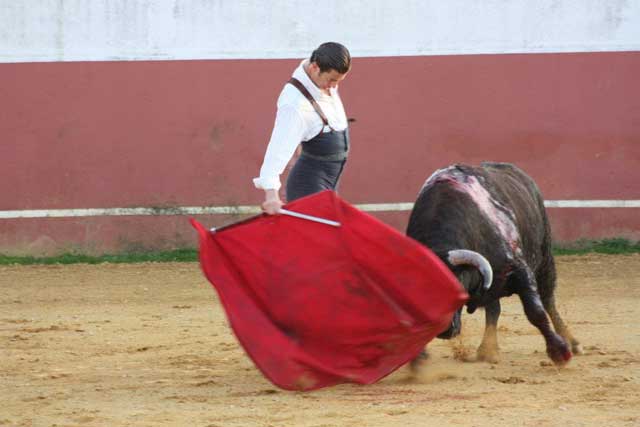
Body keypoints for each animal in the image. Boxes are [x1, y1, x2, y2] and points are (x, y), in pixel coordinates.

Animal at [408, 163, 584, 368]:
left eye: (457, 285)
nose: (444, 330)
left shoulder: (520, 270)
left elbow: (536, 312)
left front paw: (559, 352)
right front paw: (417, 358)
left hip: (545, 259)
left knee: (548, 300)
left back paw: (572, 343)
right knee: (494, 309)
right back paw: (488, 350)